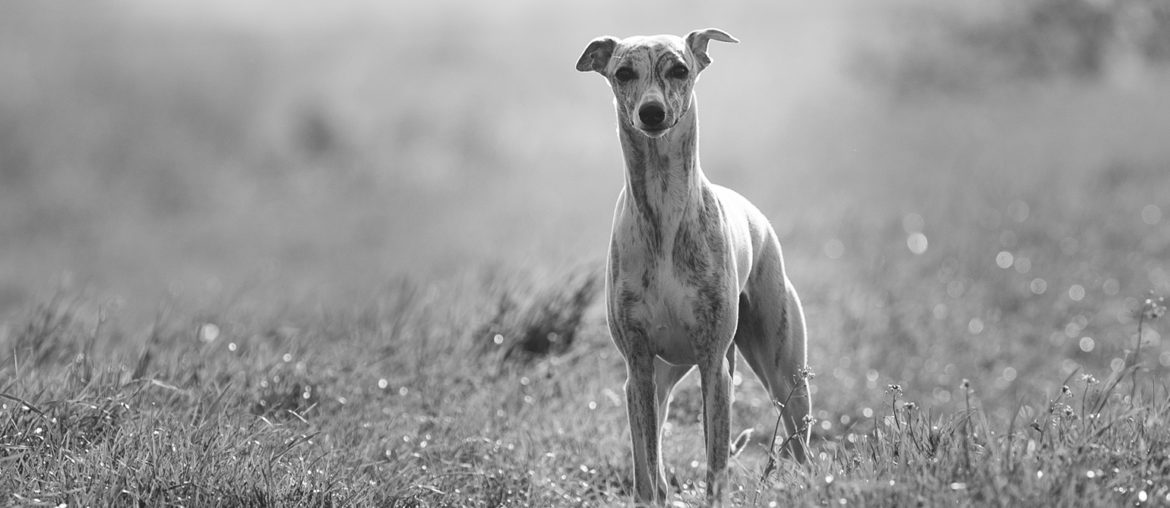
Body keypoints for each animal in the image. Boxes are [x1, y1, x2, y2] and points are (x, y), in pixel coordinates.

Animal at [575, 29, 814, 500]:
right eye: (623, 72)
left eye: (679, 69)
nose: (652, 112)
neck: (664, 211)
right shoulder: (639, 365)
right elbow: (648, 476)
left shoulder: (714, 366)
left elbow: (715, 469)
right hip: (659, 381)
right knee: (652, 459)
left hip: (784, 378)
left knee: (804, 453)